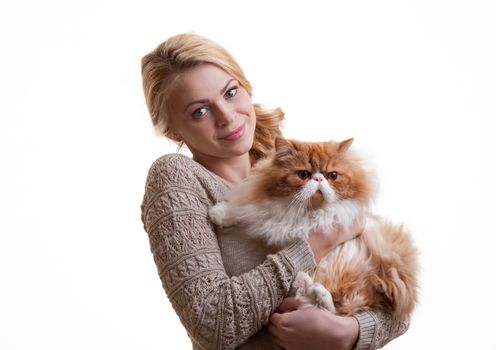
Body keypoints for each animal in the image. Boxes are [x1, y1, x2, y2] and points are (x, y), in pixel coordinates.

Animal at [209, 138, 418, 318]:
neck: (308, 211)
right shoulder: (269, 213)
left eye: (332, 175)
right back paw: (305, 283)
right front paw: (218, 213)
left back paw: (315, 289)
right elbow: (245, 211)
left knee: (338, 309)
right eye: (304, 174)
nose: (318, 179)